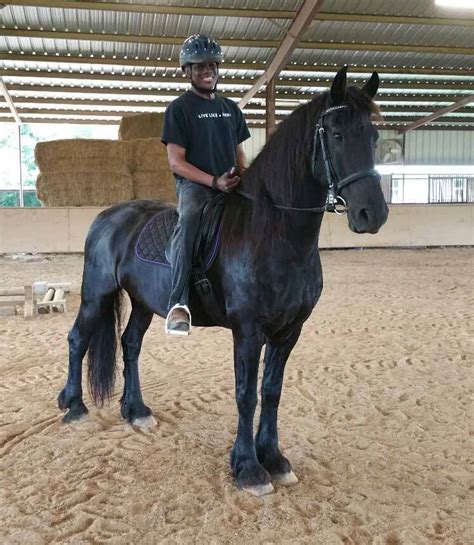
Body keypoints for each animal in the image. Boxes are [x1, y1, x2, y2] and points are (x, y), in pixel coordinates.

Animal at [57, 66, 386, 496]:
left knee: (130, 345)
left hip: (144, 303)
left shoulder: (288, 332)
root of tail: (108, 216)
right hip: (96, 294)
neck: (273, 233)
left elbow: (272, 392)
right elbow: (246, 395)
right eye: (335, 134)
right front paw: (248, 468)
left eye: (374, 135)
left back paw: (136, 410)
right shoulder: (248, 331)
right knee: (78, 339)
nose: (372, 214)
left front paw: (274, 458)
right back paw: (74, 407)